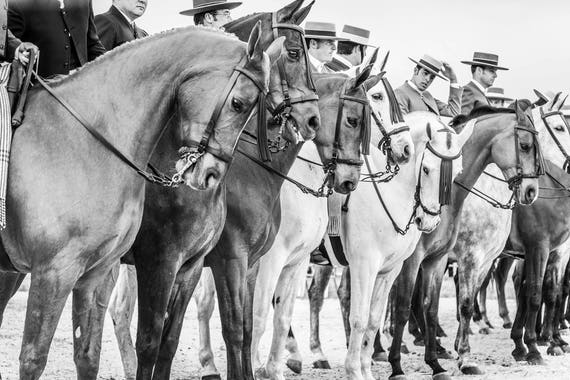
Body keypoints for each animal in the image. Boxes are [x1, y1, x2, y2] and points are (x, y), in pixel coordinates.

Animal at [0, 25, 272, 378]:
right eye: (239, 103)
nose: (210, 174)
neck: (87, 140)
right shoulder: (59, 272)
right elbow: (35, 358)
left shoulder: (101, 273)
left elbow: (90, 356)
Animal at [386, 103, 540, 380]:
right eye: (524, 145)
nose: (532, 191)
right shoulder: (448, 258)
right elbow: (411, 305)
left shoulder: (459, 260)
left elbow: (441, 306)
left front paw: (452, 357)